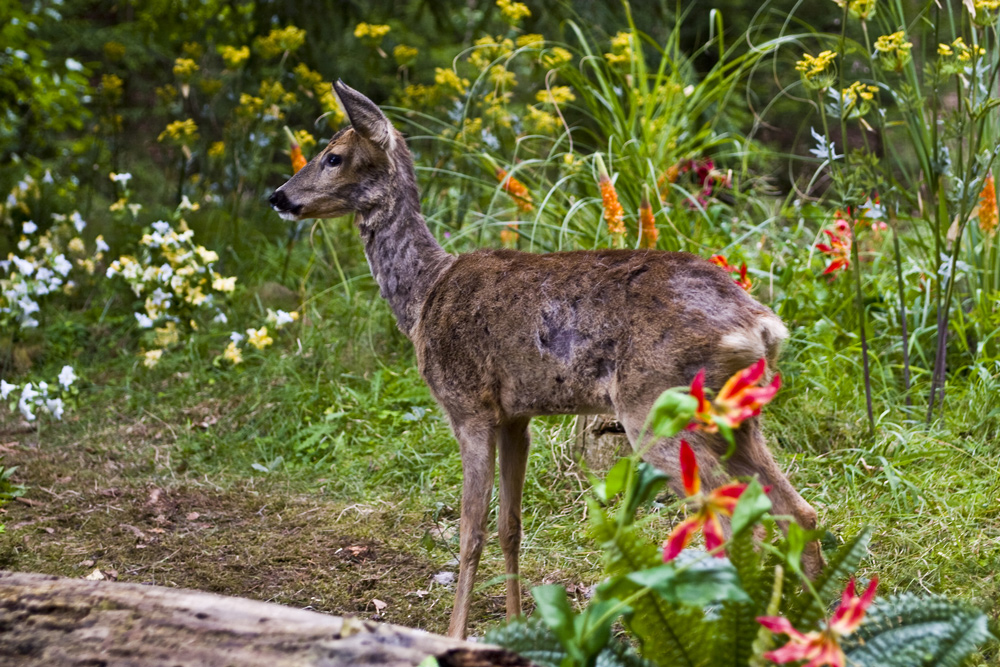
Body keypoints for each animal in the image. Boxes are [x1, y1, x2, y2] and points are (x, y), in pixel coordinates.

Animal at [270, 81, 824, 640]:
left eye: (333, 156)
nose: (279, 197)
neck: (424, 296)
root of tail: (761, 324)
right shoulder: (516, 417)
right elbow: (510, 526)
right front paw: (516, 626)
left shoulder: (468, 407)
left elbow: (471, 531)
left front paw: (454, 635)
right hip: (735, 418)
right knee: (799, 510)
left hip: (658, 406)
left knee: (739, 524)